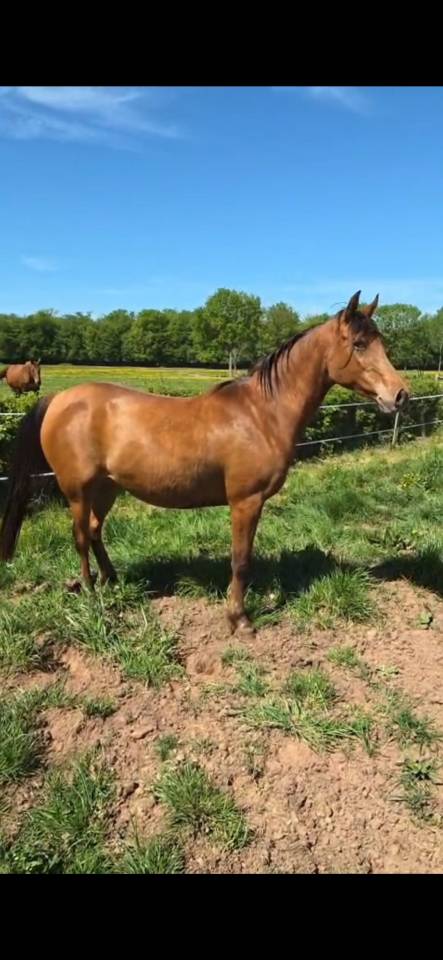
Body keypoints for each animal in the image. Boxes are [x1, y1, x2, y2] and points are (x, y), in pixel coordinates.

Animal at [0, 292, 409, 634]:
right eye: (359, 344)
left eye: (382, 343)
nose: (400, 395)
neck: (262, 413)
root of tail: (58, 399)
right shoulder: (245, 502)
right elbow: (240, 561)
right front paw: (239, 619)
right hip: (78, 491)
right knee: (81, 538)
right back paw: (89, 593)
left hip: (106, 488)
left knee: (96, 532)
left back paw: (111, 580)